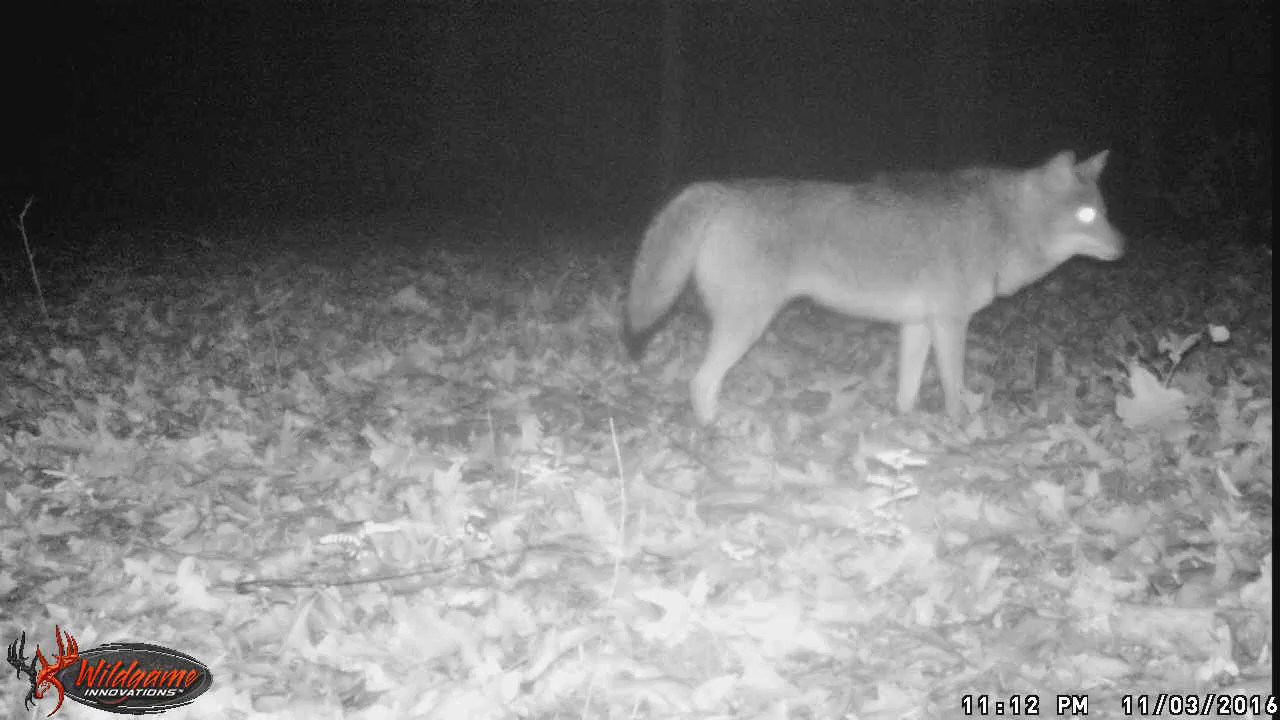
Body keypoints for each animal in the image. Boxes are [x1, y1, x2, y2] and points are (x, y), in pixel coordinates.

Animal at [624, 150, 1124, 424]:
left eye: (1103, 212)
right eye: (1086, 216)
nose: (1124, 246)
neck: (1000, 226)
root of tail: (719, 190)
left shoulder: (918, 325)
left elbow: (908, 389)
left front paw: (905, 424)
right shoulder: (950, 323)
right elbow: (954, 387)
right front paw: (957, 429)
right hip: (746, 327)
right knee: (699, 381)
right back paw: (715, 429)